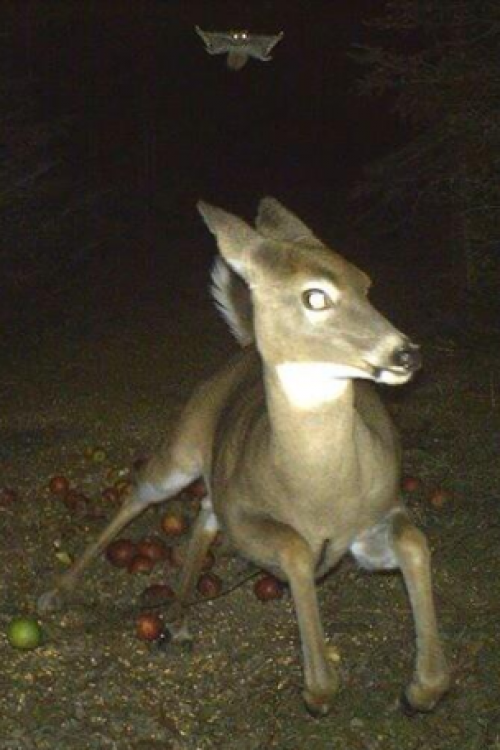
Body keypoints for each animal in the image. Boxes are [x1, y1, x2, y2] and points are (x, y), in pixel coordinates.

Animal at [36, 198, 450, 716]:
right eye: (315, 297)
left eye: (366, 283)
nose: (406, 354)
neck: (319, 493)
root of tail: (246, 347)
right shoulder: (246, 518)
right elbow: (295, 549)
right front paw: (318, 689)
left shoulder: (378, 513)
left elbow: (414, 543)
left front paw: (421, 688)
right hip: (182, 447)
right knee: (141, 495)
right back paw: (55, 594)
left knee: (202, 512)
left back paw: (180, 616)